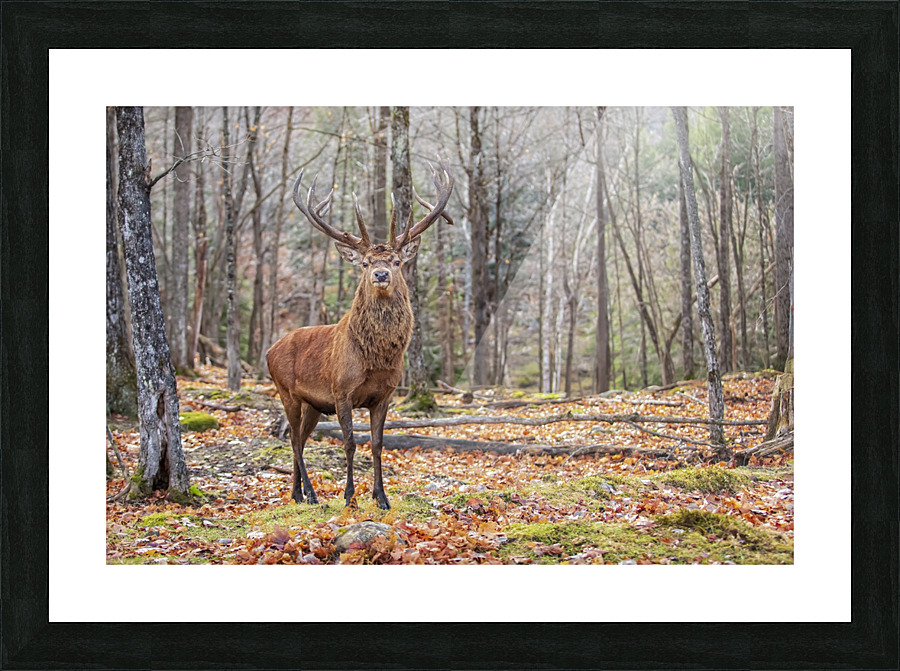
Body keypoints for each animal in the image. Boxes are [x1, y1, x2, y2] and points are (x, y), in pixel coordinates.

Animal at [266, 159, 454, 510]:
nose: (380, 274)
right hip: (286, 391)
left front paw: (381, 497)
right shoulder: (341, 391)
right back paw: (311, 493)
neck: (376, 359)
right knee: (295, 440)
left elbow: (378, 443)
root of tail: (269, 350)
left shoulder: (385, 394)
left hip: (312, 404)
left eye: (396, 260)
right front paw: (350, 496)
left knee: (300, 438)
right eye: (365, 263)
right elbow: (350, 443)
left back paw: (297, 494)